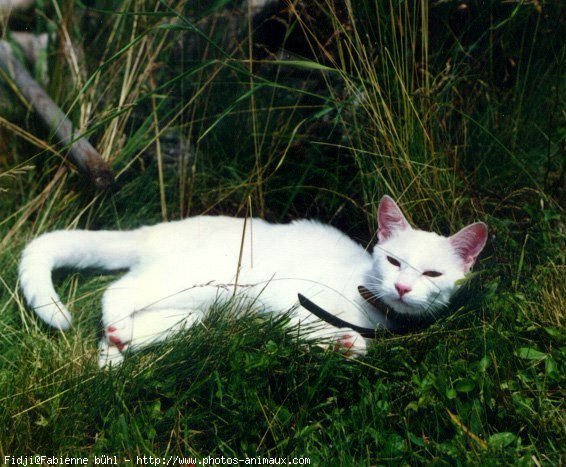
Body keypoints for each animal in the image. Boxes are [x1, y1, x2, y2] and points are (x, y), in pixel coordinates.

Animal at [17, 196, 488, 368]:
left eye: (432, 274)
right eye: (393, 261)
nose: (403, 288)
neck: (368, 305)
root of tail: (156, 231)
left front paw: (342, 343)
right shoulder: (291, 301)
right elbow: (314, 326)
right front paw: (344, 342)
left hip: (191, 313)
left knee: (131, 326)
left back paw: (115, 354)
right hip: (199, 280)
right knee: (117, 290)